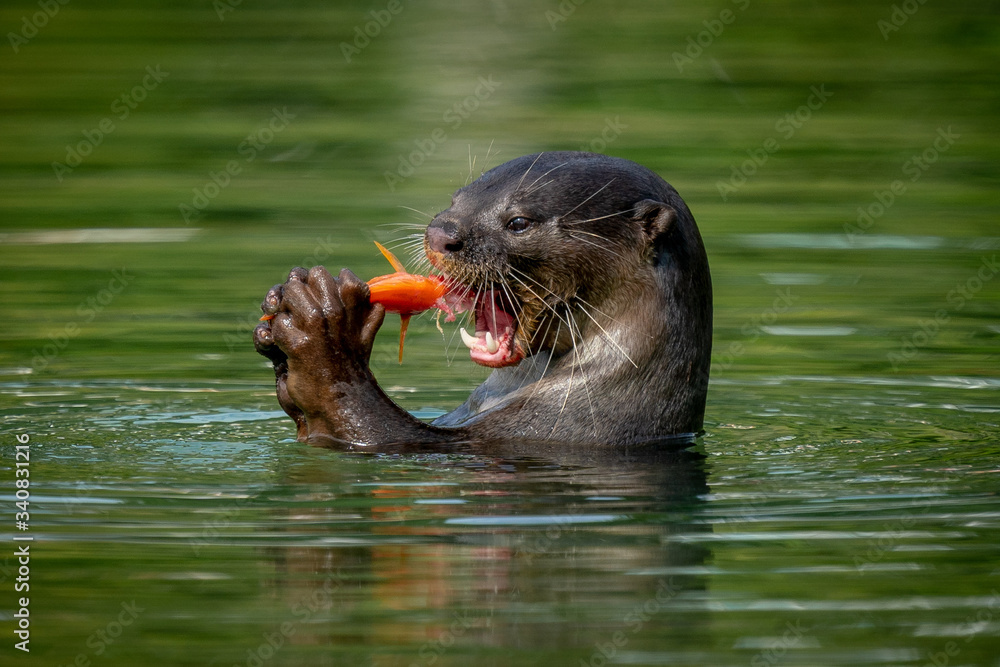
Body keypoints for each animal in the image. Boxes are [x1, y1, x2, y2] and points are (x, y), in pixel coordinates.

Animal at [253, 151, 712, 447]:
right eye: (456, 199)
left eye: (519, 222)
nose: (440, 232)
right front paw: (278, 310)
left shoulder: (560, 430)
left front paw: (321, 327)